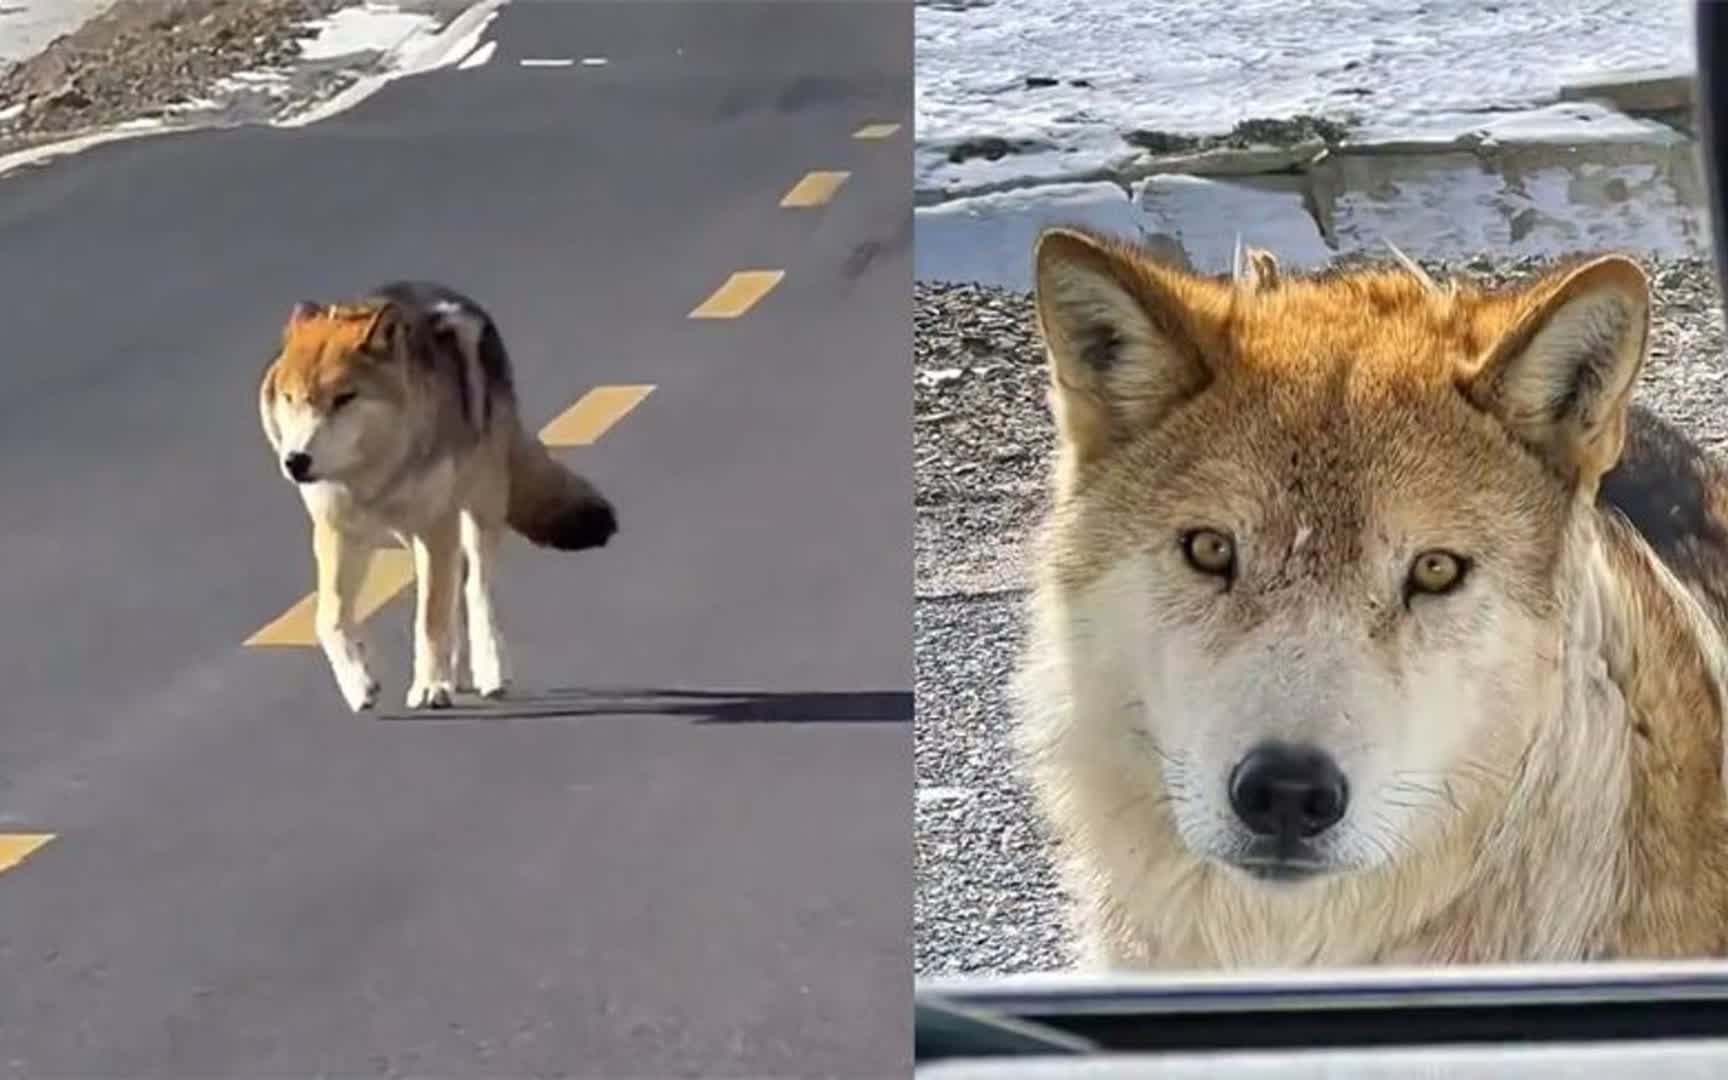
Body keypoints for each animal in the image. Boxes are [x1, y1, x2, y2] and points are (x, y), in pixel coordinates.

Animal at [252, 281, 611, 711]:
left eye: (344, 398)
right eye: (290, 397)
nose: (296, 461)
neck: (373, 474)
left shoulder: (435, 525)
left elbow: (429, 618)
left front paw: (429, 686)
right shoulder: (338, 532)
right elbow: (330, 618)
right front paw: (361, 686)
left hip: (478, 508)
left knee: (476, 589)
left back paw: (489, 671)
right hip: (420, 534)